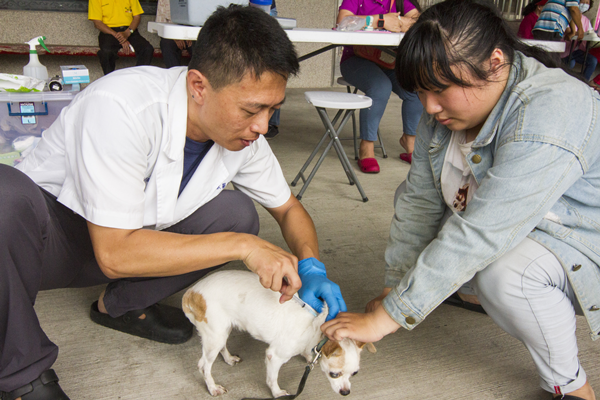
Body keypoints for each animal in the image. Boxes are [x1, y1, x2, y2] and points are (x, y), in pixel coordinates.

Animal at [183, 268, 372, 396]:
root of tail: (192, 292)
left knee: (221, 347)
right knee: (203, 366)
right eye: (334, 374)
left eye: (354, 373)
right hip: (215, 336)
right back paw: (213, 387)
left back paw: (229, 358)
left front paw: (309, 356)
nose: (346, 392)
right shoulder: (275, 356)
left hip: (222, 331)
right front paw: (277, 393)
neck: (318, 324)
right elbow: (272, 379)